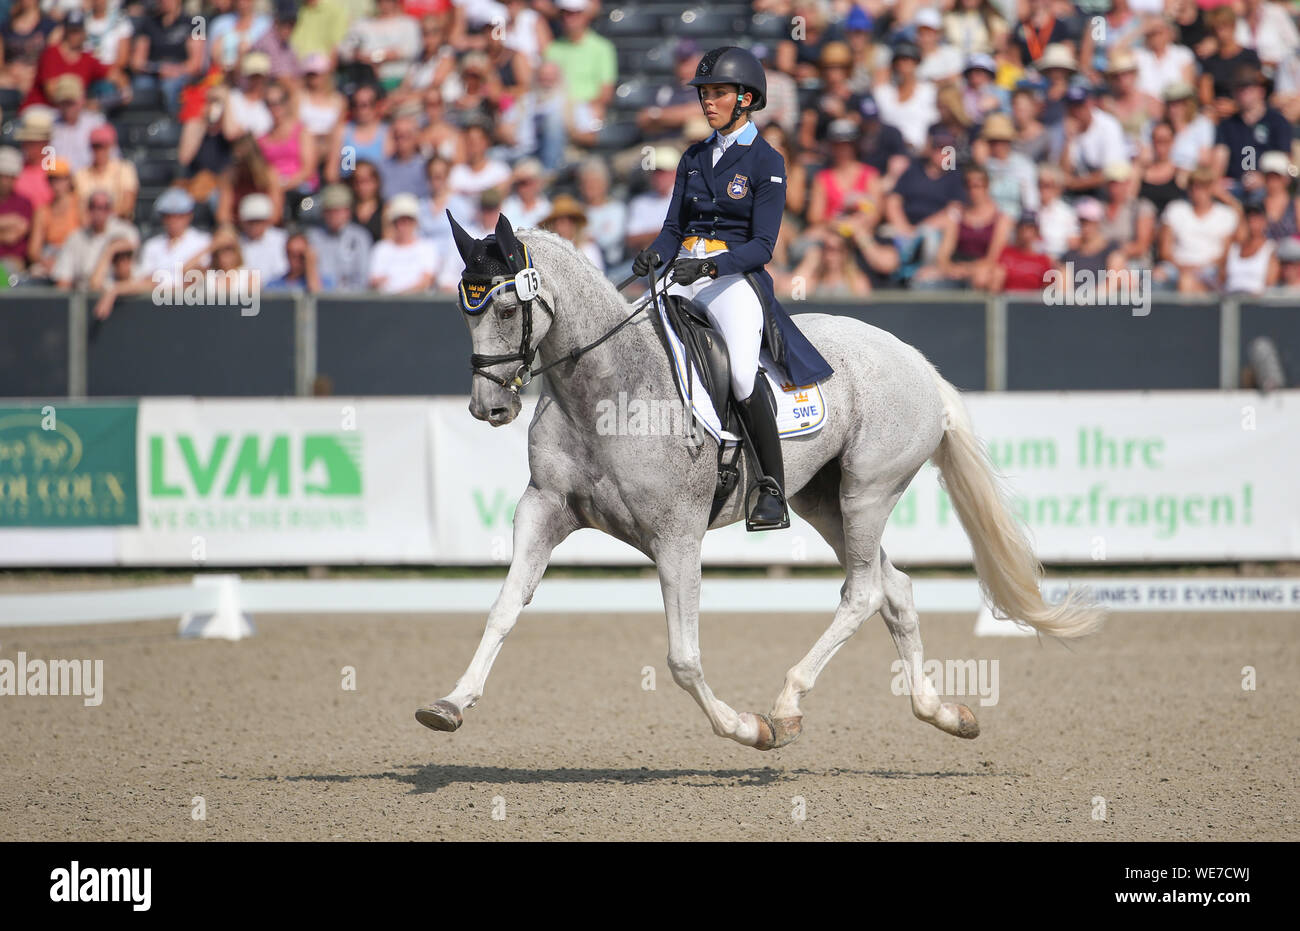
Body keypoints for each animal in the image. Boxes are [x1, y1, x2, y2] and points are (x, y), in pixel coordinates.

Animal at [418, 215, 1097, 748]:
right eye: (464, 311)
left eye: (509, 308)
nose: (488, 408)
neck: (606, 390)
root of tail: (918, 364)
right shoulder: (544, 508)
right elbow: (504, 608)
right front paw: (449, 704)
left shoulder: (676, 537)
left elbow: (682, 659)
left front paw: (747, 728)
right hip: (824, 502)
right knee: (895, 588)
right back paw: (941, 713)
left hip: (868, 492)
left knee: (862, 592)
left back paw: (788, 706)